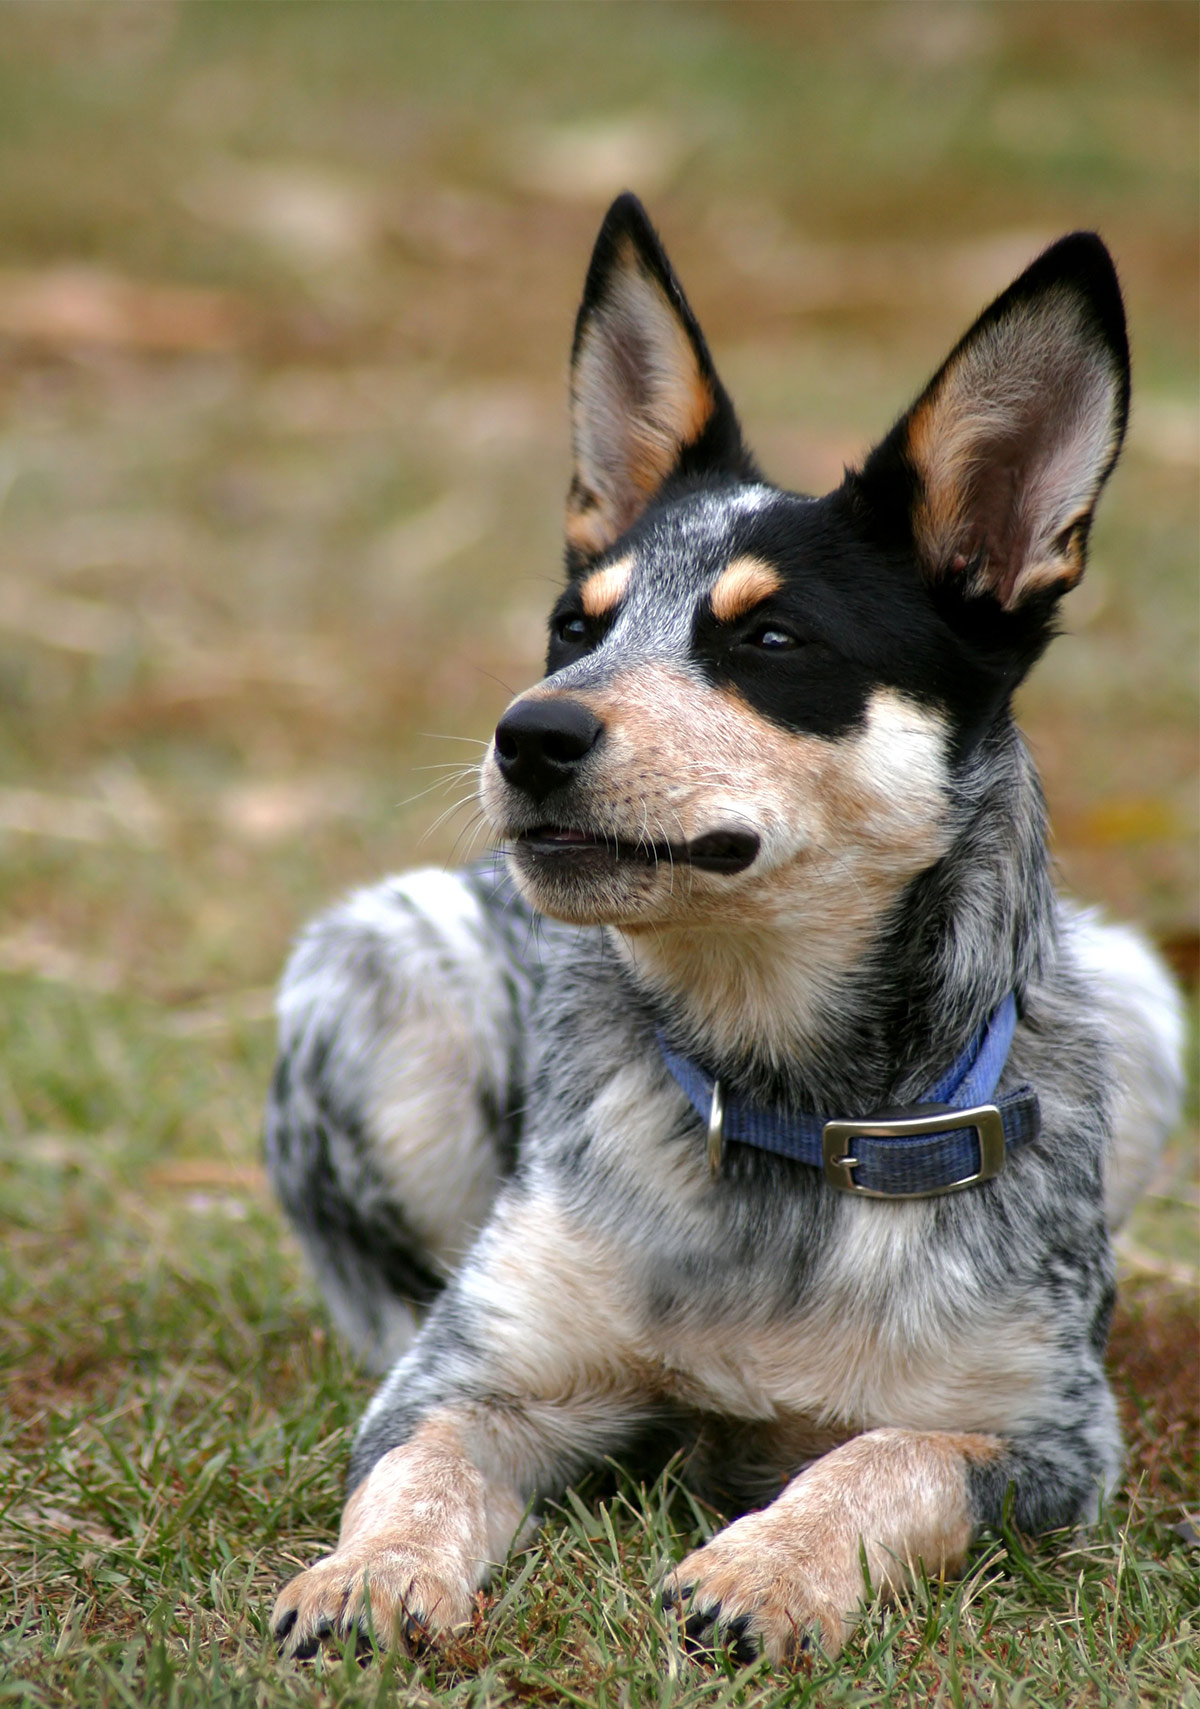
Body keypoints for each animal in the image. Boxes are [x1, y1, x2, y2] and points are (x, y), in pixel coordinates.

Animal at [264, 193, 1182, 1661]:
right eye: (572, 625)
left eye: (773, 639)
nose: (530, 732)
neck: (780, 1104)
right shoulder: (468, 1374)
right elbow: (423, 1461)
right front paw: (372, 1570)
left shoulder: (1050, 1440)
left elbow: (889, 1454)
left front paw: (770, 1566)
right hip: (372, 970)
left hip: (1142, 987)